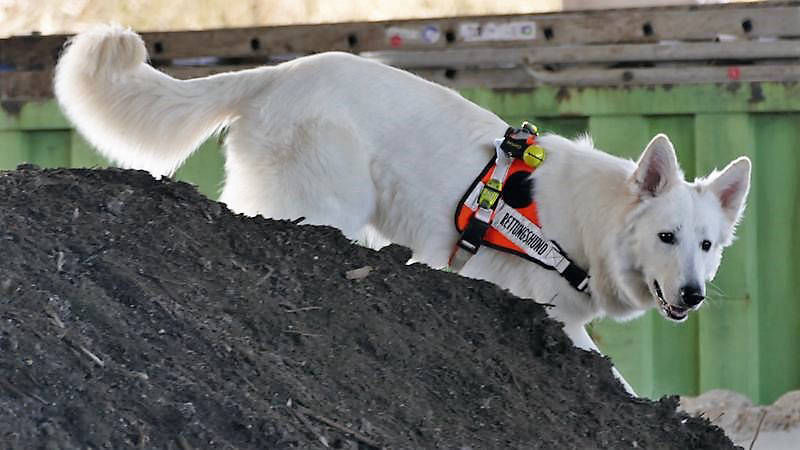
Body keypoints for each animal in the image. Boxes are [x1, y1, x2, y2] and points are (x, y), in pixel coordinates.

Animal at [54, 26, 752, 396]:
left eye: (707, 246)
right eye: (666, 237)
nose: (692, 295)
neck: (588, 222)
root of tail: (277, 72)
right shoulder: (529, 301)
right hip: (329, 205)